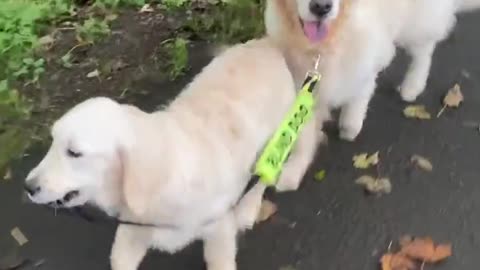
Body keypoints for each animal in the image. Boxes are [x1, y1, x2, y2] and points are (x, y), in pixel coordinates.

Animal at [23, 38, 322, 270]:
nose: (28, 187)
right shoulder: (131, 231)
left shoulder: (218, 230)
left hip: (277, 139)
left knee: (263, 177)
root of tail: (265, 44)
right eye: (52, 141)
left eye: (74, 152)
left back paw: (248, 209)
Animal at [264, 0, 480, 140]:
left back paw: (412, 85)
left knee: (424, 50)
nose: (321, 7)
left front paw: (350, 125)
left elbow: (360, 91)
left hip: (417, 20)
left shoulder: (368, 53)